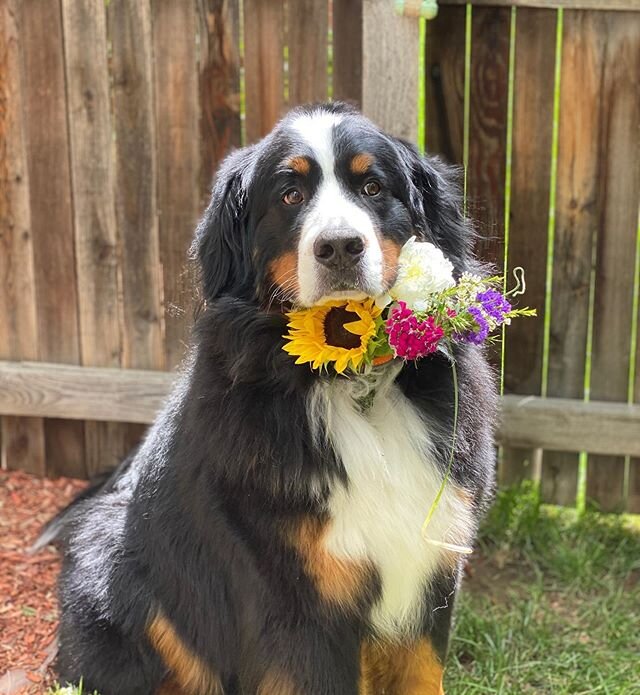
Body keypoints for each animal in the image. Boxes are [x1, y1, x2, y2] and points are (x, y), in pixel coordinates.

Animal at [42, 103, 498, 695]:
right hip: (119, 572)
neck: (353, 385)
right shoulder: (298, 598)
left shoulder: (429, 573)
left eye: (373, 186)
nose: (339, 246)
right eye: (290, 195)